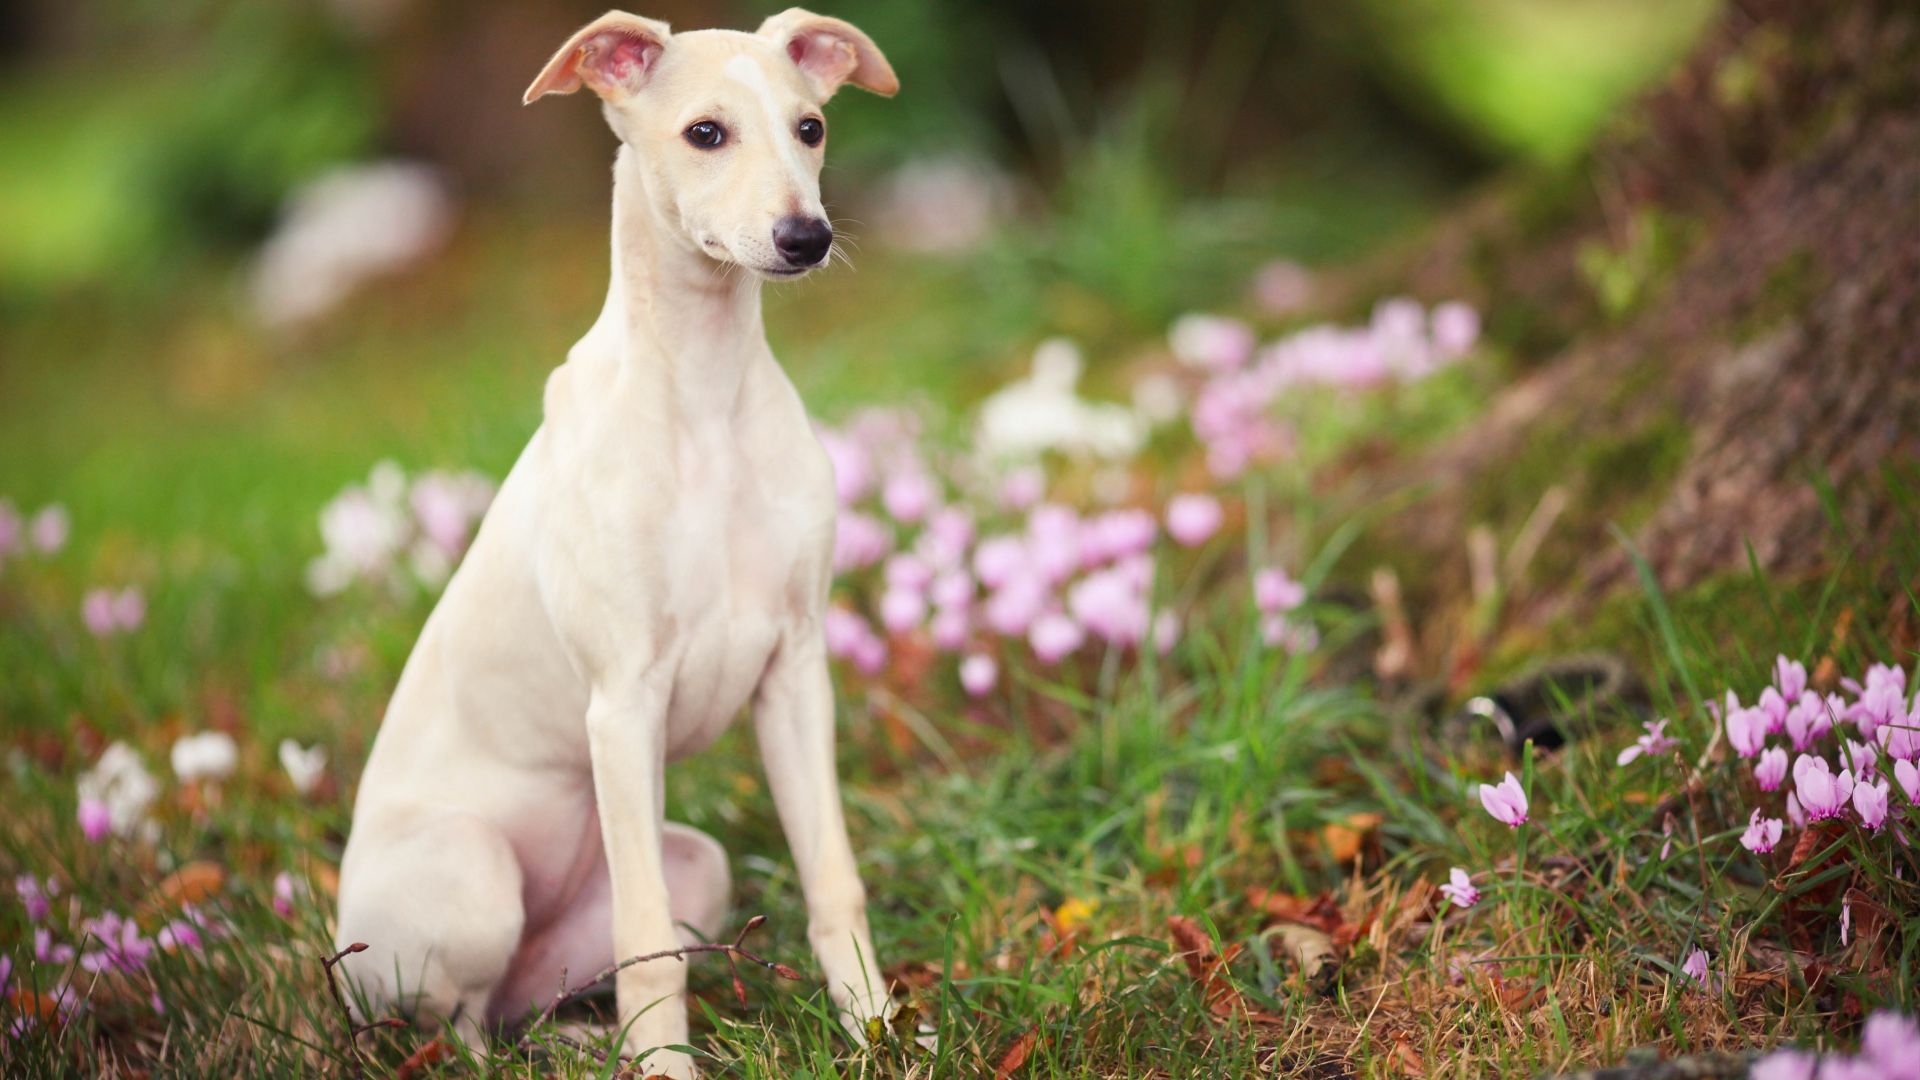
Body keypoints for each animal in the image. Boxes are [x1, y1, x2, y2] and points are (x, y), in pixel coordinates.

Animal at [330, 12, 898, 1068]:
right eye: (706, 133)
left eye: (810, 127)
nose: (808, 237)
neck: (705, 396)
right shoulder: (622, 703)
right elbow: (647, 937)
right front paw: (667, 1069)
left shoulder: (796, 672)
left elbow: (832, 878)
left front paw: (879, 1033)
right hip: (471, 879)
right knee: (455, 1026)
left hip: (695, 869)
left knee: (519, 1005)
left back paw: (581, 1042)